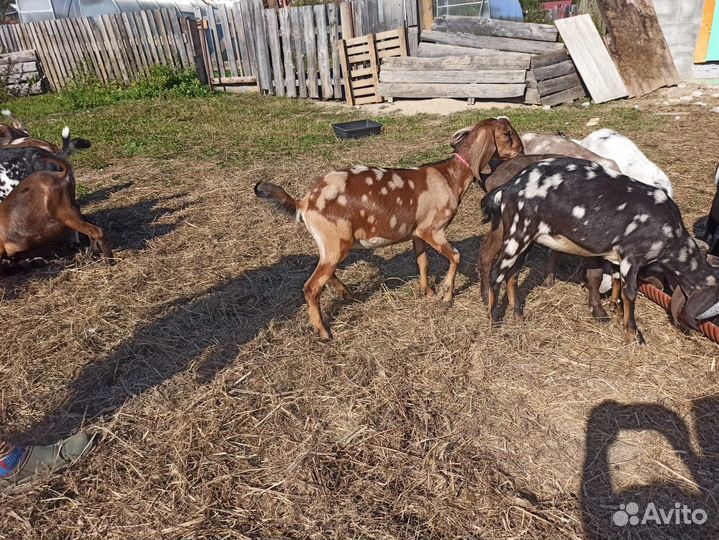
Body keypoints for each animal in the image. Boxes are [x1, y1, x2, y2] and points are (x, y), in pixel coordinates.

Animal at [255, 117, 523, 340]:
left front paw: (427, 291)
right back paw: (324, 332)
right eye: (507, 133)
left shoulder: (417, 232)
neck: (450, 176)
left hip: (330, 245)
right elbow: (456, 256)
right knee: (311, 287)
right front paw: (446, 295)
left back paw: (347, 294)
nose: (521, 151)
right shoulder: (432, 229)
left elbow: (422, 261)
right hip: (335, 242)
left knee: (324, 273)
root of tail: (304, 202)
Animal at [482, 157, 719, 344]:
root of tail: (509, 187)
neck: (671, 235)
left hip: (527, 239)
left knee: (512, 274)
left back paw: (518, 315)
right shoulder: (631, 256)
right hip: (518, 233)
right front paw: (633, 333)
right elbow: (630, 293)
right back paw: (493, 323)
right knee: (496, 274)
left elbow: (616, 282)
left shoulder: (616, 257)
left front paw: (616, 311)